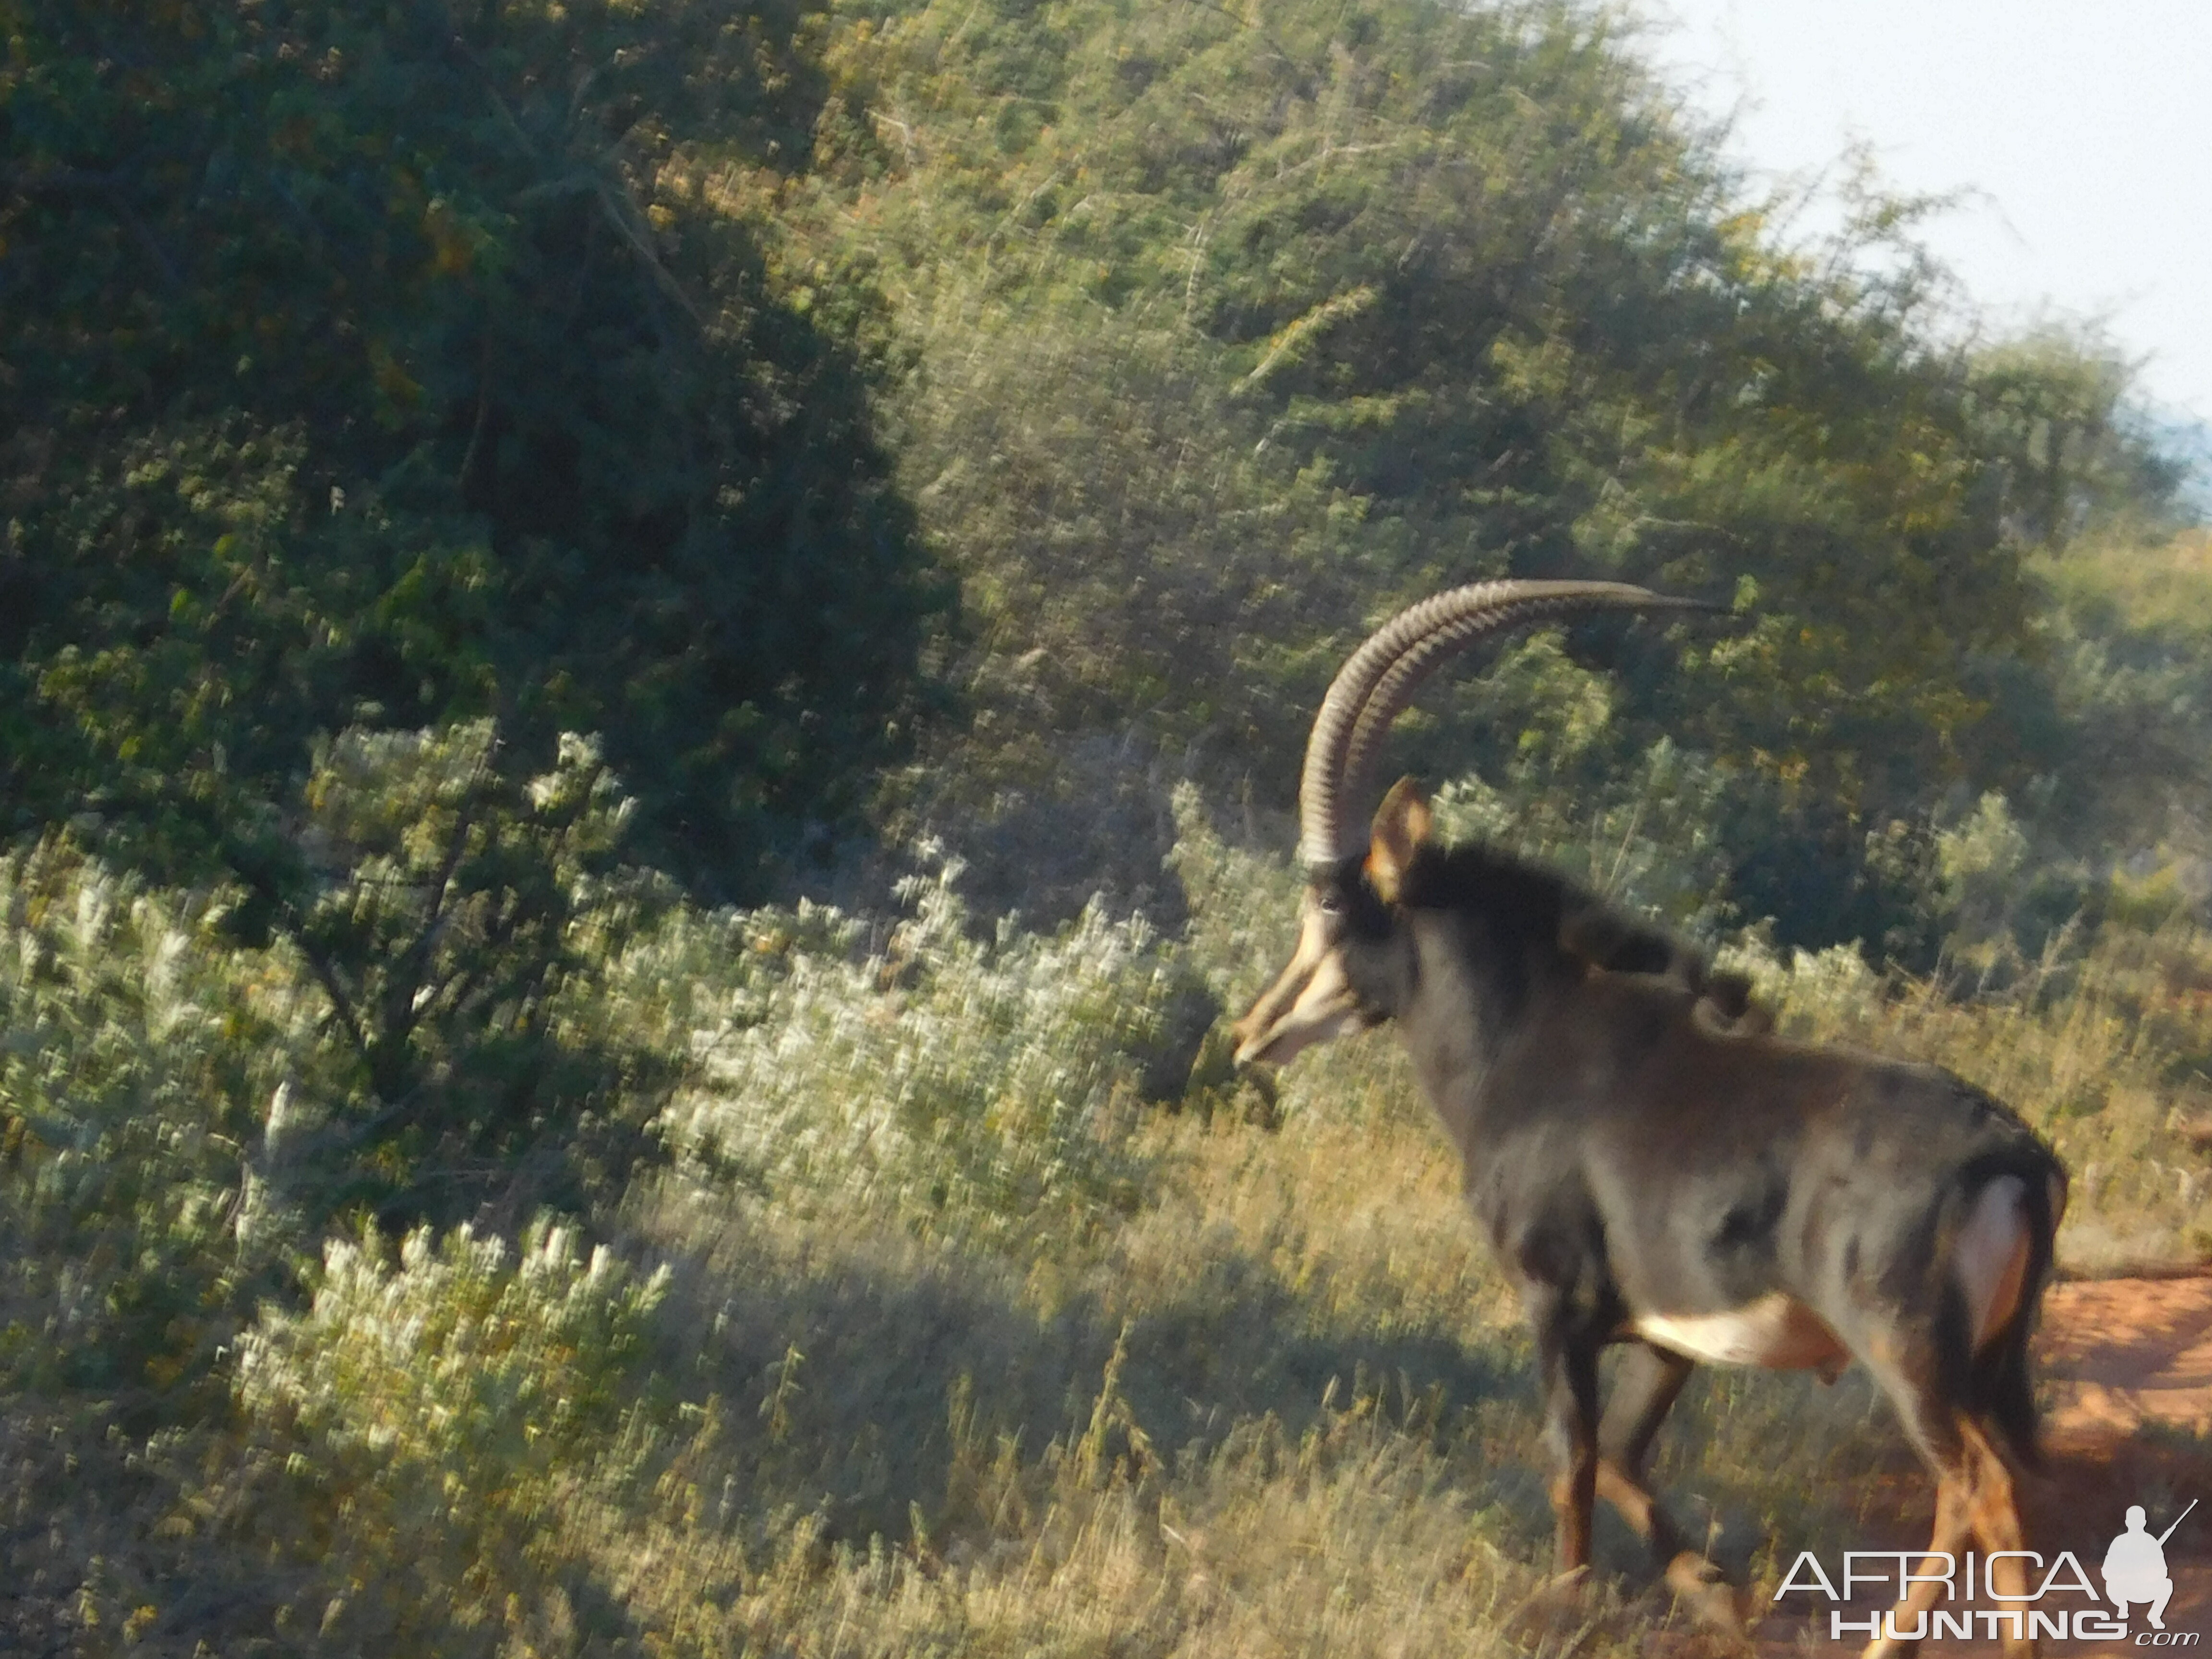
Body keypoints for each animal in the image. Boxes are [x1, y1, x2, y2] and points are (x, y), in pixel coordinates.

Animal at [1238, 579, 2061, 1654]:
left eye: (1330, 911)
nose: (1253, 1032)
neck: (1529, 1036)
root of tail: (2010, 1155)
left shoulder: (1556, 1301)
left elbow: (1572, 1457)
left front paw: (1565, 1603)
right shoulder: (1671, 1330)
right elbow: (1627, 1459)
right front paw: (1718, 1591)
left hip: (1907, 1357)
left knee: (1978, 1488)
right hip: (1976, 1364)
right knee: (1990, 1489)